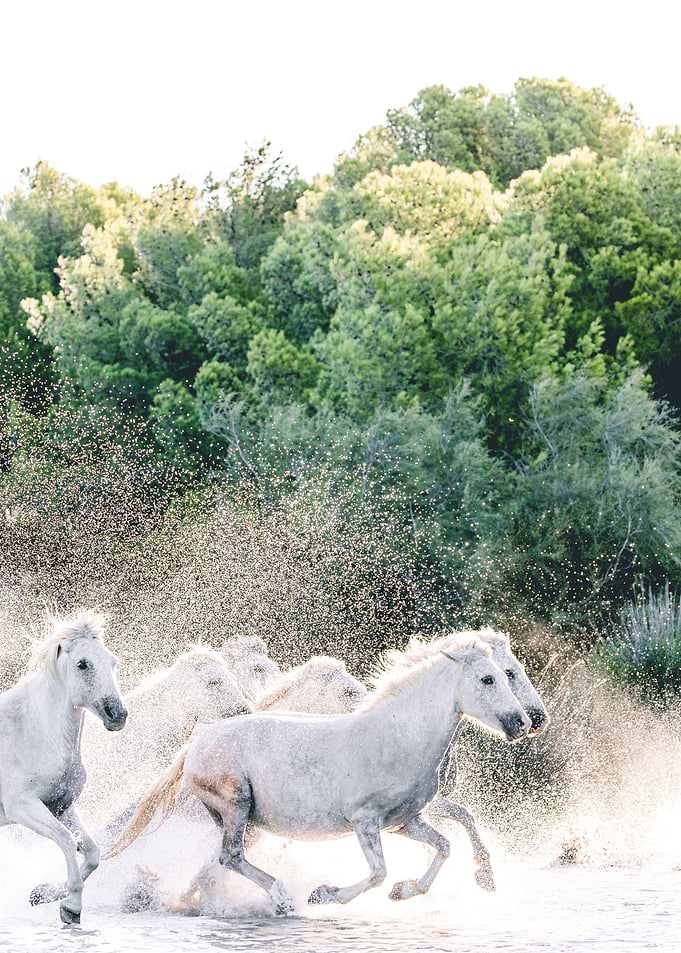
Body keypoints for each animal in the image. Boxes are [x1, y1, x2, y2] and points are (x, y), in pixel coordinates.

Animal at [0, 611, 128, 925]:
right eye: (83, 664)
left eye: (112, 661)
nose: (118, 715)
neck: (36, 731)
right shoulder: (23, 807)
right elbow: (67, 840)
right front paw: (72, 908)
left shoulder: (61, 806)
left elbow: (92, 852)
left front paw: (43, 894)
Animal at [107, 633, 531, 915]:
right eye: (490, 678)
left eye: (505, 674)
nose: (523, 723)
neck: (400, 736)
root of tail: (200, 738)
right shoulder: (364, 821)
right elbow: (378, 871)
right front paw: (325, 894)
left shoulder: (404, 821)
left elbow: (443, 847)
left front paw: (406, 890)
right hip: (236, 805)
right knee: (229, 857)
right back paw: (282, 898)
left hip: (242, 821)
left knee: (218, 864)